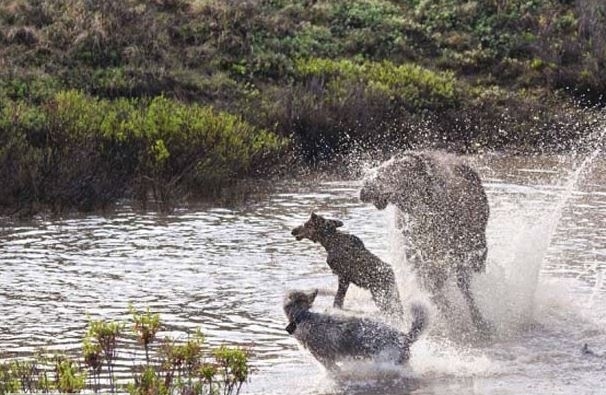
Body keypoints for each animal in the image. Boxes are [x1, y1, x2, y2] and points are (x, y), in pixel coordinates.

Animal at [360, 152, 494, 334]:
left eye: (390, 171)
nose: (364, 190)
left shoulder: (462, 253)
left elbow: (463, 289)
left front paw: (478, 323)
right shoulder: (419, 257)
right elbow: (434, 291)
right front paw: (452, 320)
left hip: (479, 246)